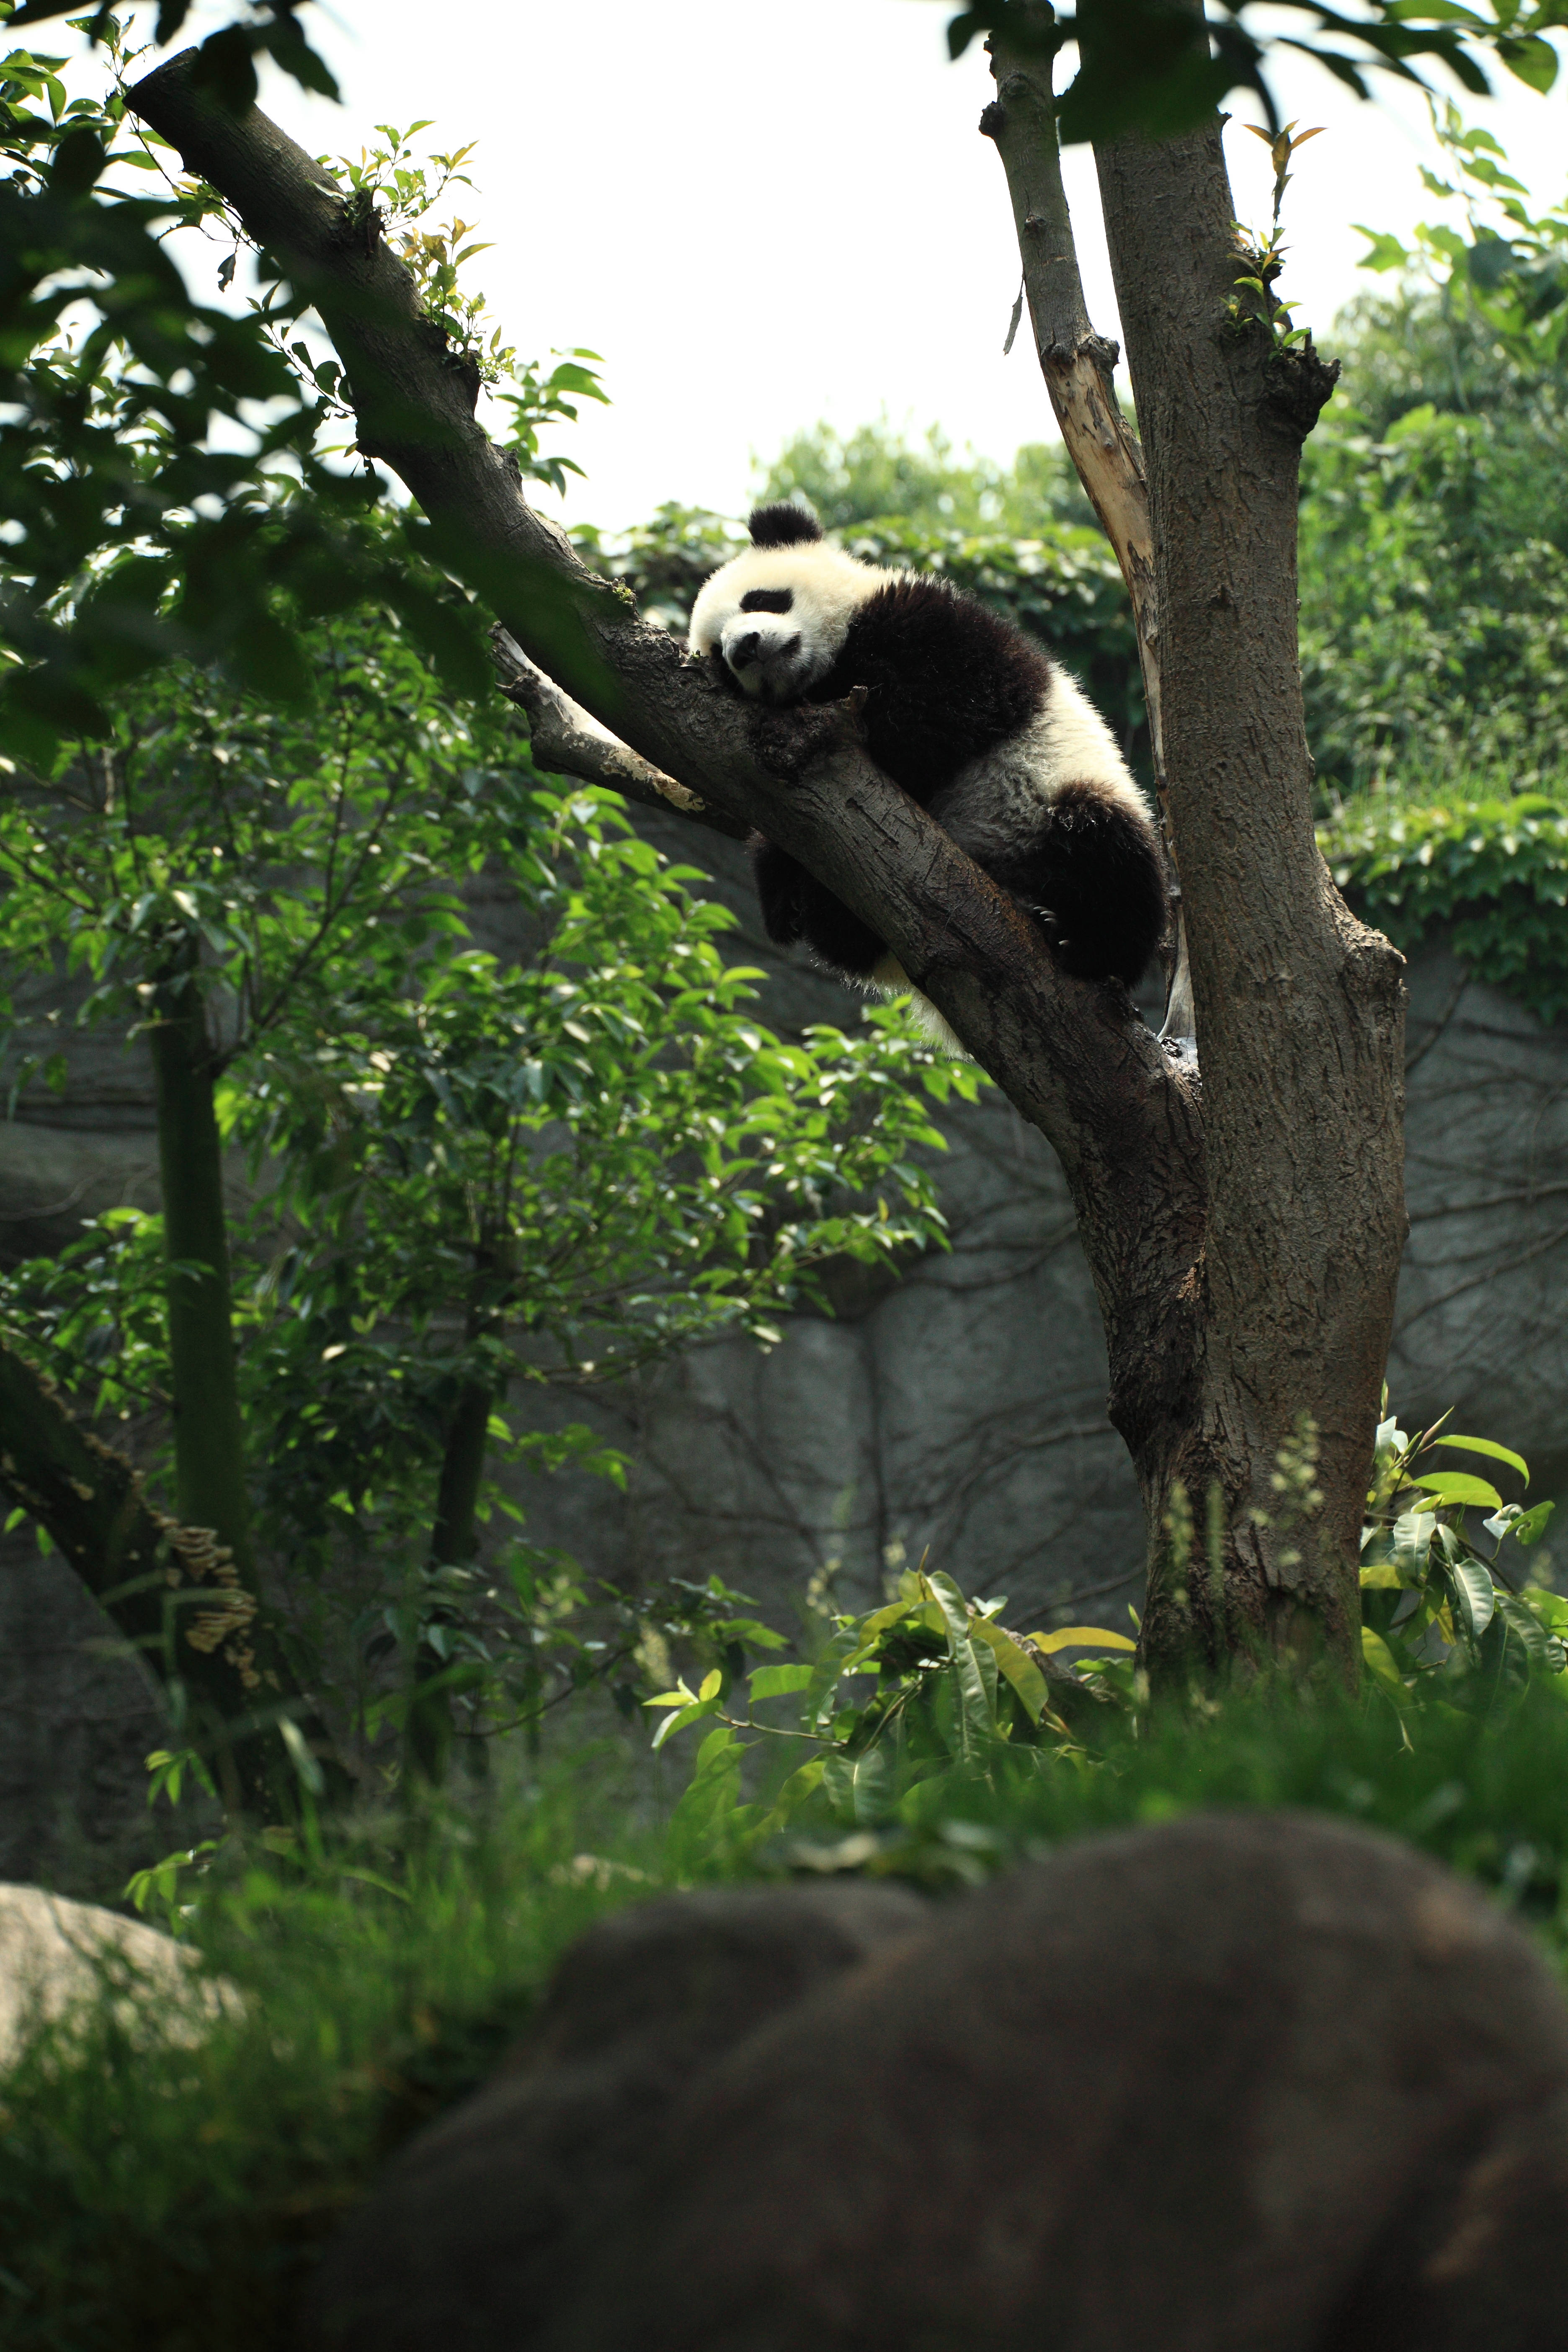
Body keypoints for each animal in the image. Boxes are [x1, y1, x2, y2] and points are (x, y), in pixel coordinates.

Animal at [688, 502, 1168, 1048]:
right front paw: (779, 887)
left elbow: (938, 707)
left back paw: (1077, 941)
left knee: (1109, 851)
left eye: (760, 599)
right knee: (845, 941)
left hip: (1058, 796)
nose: (744, 648)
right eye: (719, 659)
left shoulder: (940, 626)